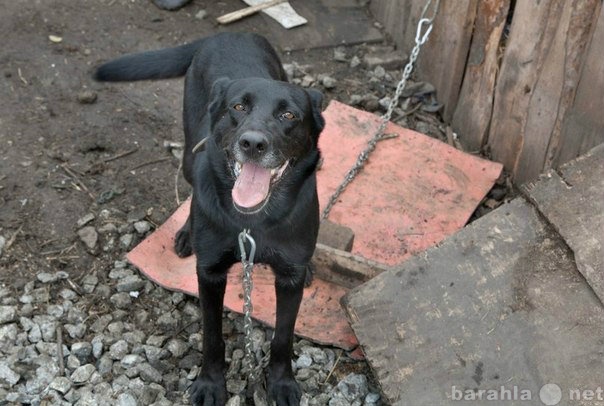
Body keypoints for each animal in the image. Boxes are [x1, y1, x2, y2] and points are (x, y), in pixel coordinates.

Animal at [95, 32, 326, 406]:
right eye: (238, 108)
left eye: (289, 114)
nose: (252, 143)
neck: (253, 222)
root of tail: (224, 33)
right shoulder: (210, 274)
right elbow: (212, 336)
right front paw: (210, 384)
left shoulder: (288, 279)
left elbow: (283, 336)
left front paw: (282, 383)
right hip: (192, 153)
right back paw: (187, 233)